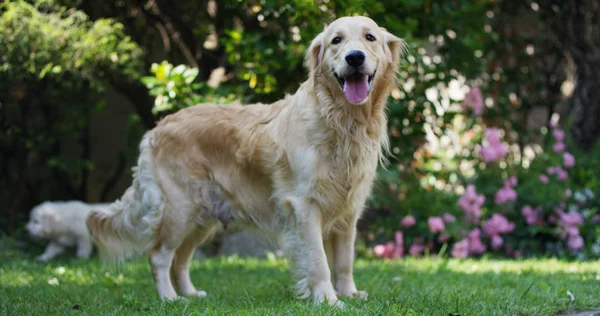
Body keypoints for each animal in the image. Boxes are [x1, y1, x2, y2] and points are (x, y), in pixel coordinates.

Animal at [86, 16, 406, 304]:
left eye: (370, 37)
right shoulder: (303, 206)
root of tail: (155, 129)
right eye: (336, 40)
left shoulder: (349, 209)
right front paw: (328, 299)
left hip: (203, 217)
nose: (355, 57)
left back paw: (190, 294)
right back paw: (169, 298)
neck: (342, 121)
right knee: (159, 255)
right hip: (179, 209)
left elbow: (344, 259)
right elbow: (318, 261)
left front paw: (350, 293)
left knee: (181, 259)